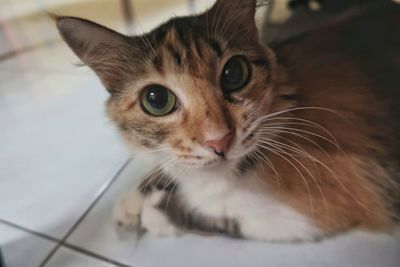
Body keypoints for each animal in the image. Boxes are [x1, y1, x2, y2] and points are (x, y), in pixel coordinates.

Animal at [54, 0, 400, 243]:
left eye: (235, 73)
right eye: (156, 99)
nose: (219, 141)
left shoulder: (309, 213)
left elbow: (220, 215)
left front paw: (158, 213)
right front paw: (136, 197)